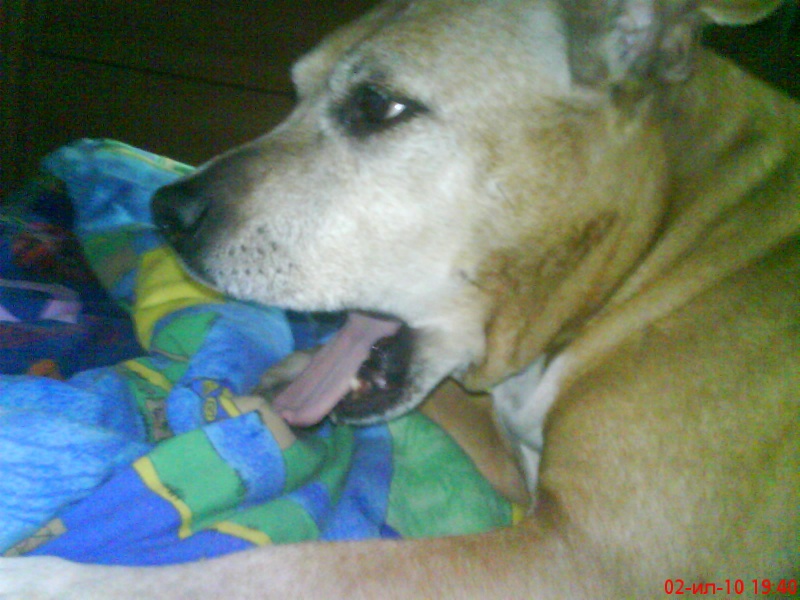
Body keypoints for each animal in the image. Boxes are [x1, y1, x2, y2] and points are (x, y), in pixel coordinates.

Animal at [1, 0, 798, 597]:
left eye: (379, 105)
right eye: (296, 93)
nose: (167, 212)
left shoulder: (582, 556)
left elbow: (274, 570)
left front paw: (45, 577)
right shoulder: (516, 463)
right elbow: (447, 403)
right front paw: (273, 384)